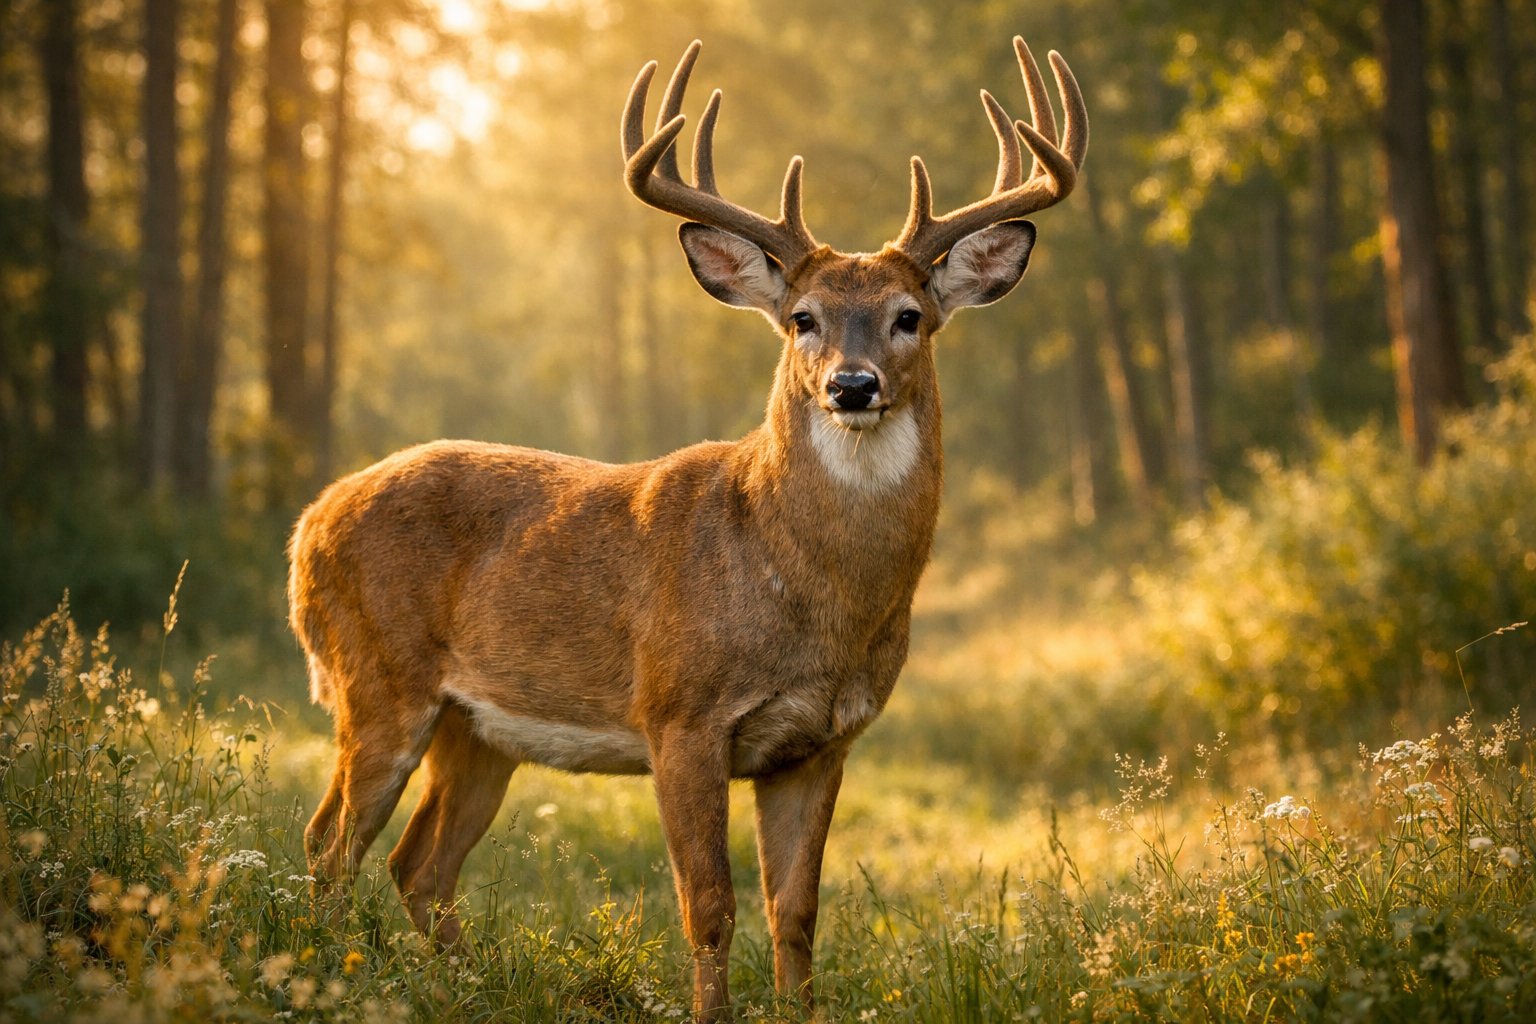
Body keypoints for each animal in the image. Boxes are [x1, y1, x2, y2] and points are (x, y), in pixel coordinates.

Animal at [289, 34, 1086, 1019]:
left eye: (910, 317)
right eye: (803, 318)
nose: (852, 385)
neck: (803, 591)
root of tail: (308, 525)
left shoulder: (822, 740)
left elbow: (796, 913)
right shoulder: (680, 714)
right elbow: (709, 907)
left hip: (476, 728)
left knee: (417, 865)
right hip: (376, 679)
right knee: (329, 846)